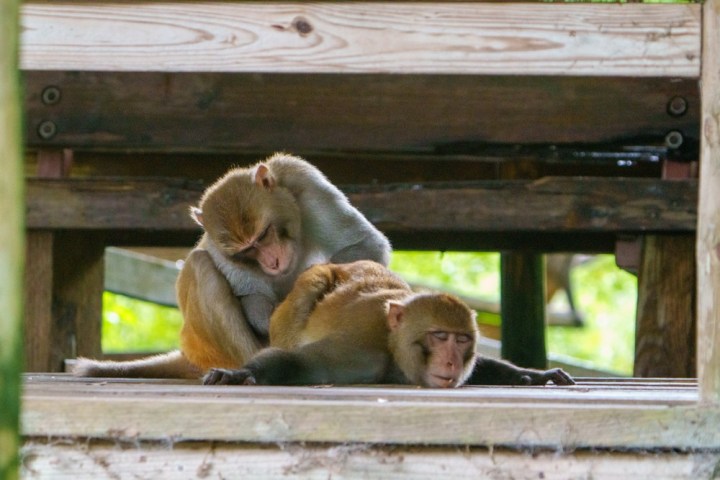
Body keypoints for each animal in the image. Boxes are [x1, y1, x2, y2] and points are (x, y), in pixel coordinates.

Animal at [73, 154, 392, 379]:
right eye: (248, 250)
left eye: (263, 235)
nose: (273, 262)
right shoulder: (218, 240)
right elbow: (233, 275)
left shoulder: (304, 180)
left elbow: (367, 243)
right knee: (200, 265)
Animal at [203, 260, 576, 388]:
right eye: (439, 337)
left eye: (462, 341)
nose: (452, 362)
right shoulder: (359, 354)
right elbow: (300, 363)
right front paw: (241, 373)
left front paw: (531, 374)